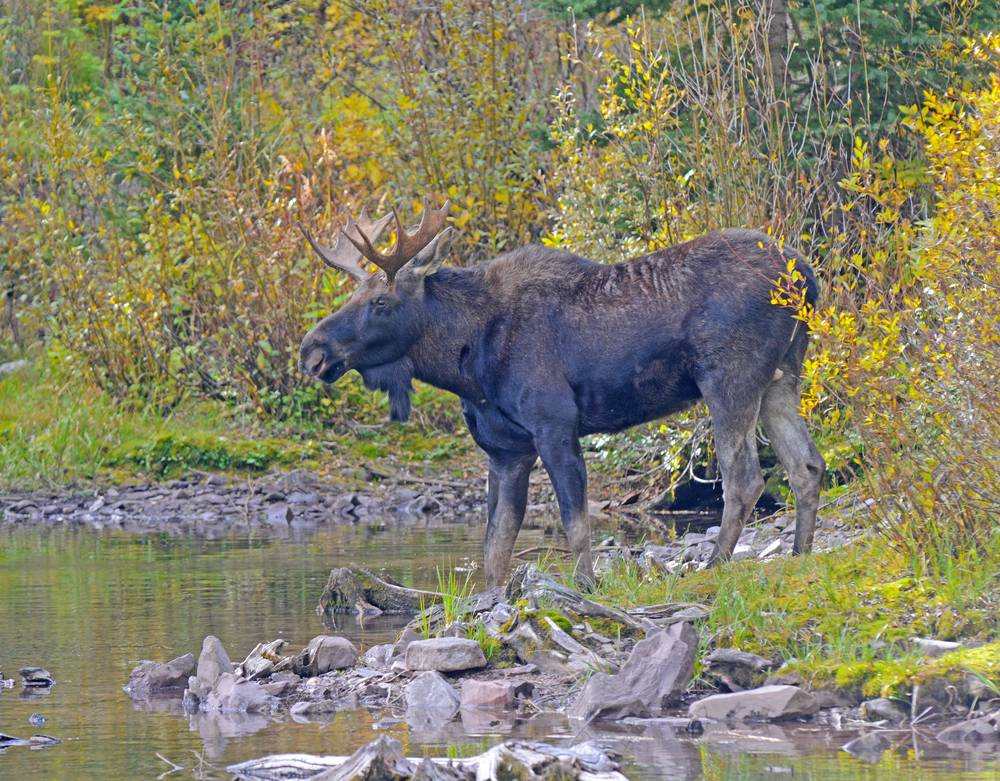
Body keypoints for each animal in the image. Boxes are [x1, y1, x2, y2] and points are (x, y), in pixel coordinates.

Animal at [298, 204, 828, 588]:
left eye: (380, 302)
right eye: (352, 296)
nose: (312, 350)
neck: (466, 363)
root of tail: (807, 277)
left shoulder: (554, 425)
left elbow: (575, 525)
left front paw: (586, 587)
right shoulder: (506, 449)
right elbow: (495, 546)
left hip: (728, 377)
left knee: (745, 478)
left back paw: (715, 564)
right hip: (781, 377)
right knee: (806, 465)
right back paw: (800, 555)